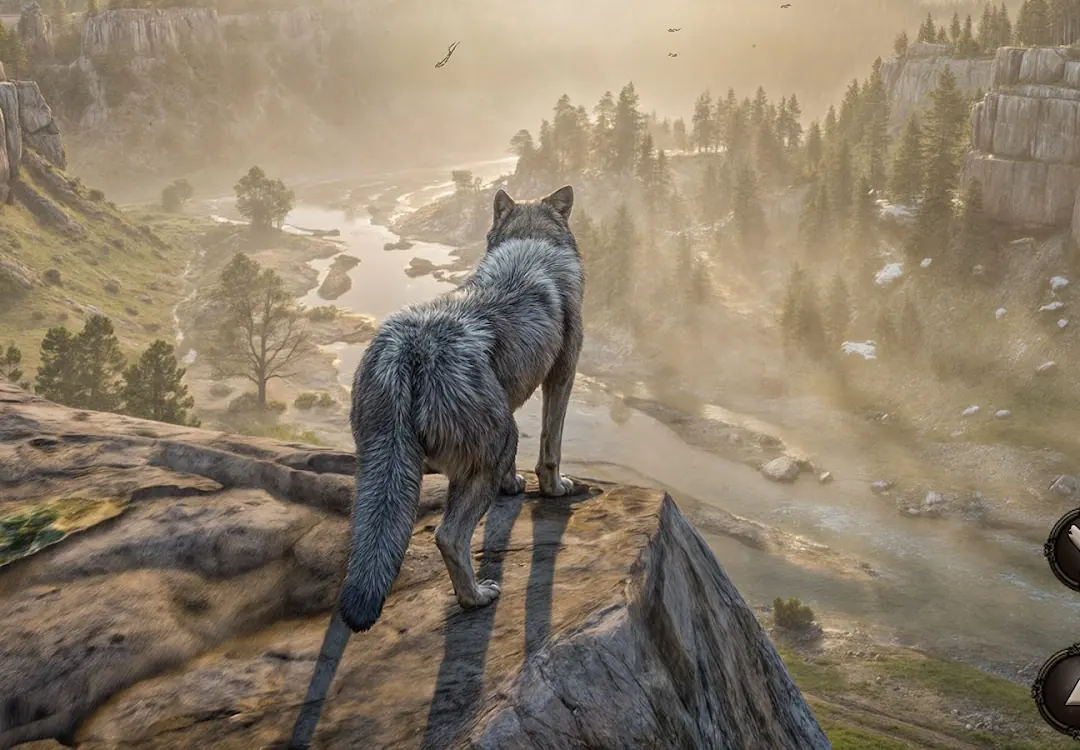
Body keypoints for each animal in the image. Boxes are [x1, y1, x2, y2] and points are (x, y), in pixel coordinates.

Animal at [338, 184, 584, 633]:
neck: (531, 244)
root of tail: (412, 350)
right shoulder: (562, 376)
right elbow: (550, 450)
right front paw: (556, 489)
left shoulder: (511, 394)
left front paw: (513, 485)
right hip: (497, 444)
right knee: (448, 537)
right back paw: (476, 597)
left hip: (380, 470)